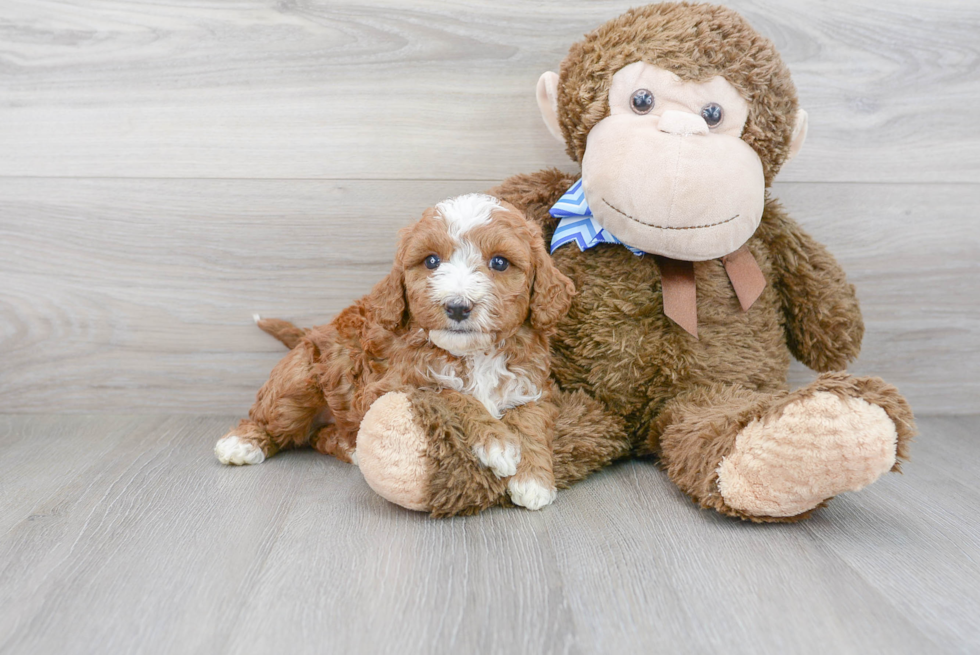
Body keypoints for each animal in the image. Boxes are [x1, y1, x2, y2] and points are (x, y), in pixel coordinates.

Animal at [216, 192, 576, 510]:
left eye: (499, 262)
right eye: (431, 261)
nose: (457, 306)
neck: (474, 355)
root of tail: (312, 332)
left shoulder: (536, 388)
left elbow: (531, 421)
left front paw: (534, 480)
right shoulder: (391, 386)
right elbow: (452, 394)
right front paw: (497, 441)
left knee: (319, 435)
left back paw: (350, 448)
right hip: (300, 380)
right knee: (274, 415)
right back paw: (242, 442)